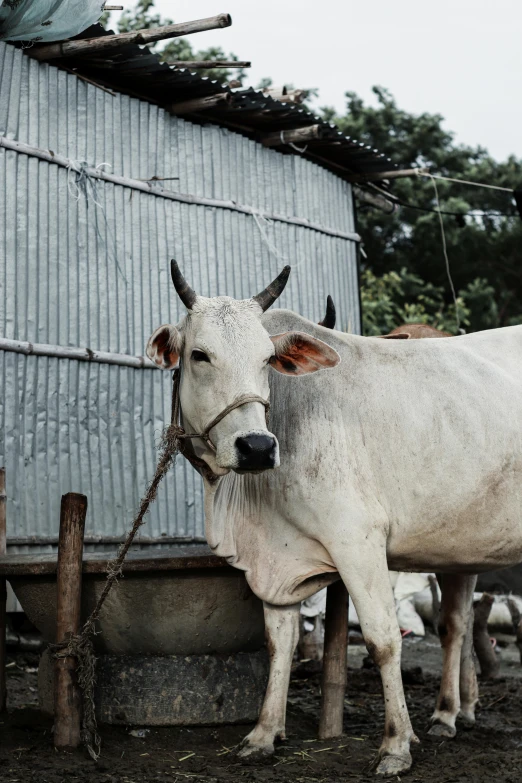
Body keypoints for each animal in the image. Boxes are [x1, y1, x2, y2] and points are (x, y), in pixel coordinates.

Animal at [145, 264, 520, 776]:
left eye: (267, 359)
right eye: (200, 355)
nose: (257, 448)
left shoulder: (358, 542)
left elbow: (384, 640)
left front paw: (396, 745)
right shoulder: (277, 560)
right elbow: (279, 642)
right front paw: (264, 734)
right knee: (457, 623)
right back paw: (452, 712)